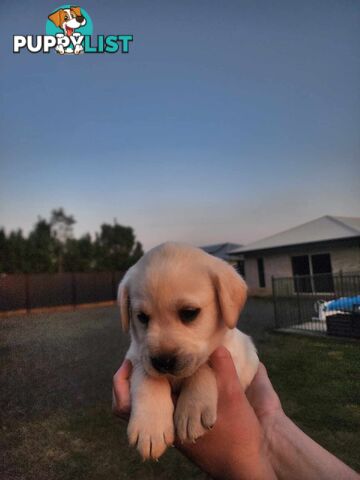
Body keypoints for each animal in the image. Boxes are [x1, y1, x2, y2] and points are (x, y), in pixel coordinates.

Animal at [118, 242, 258, 460]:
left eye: (189, 313)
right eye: (142, 317)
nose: (163, 362)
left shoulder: (236, 353)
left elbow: (204, 366)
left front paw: (192, 410)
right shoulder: (136, 356)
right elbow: (148, 376)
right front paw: (150, 426)